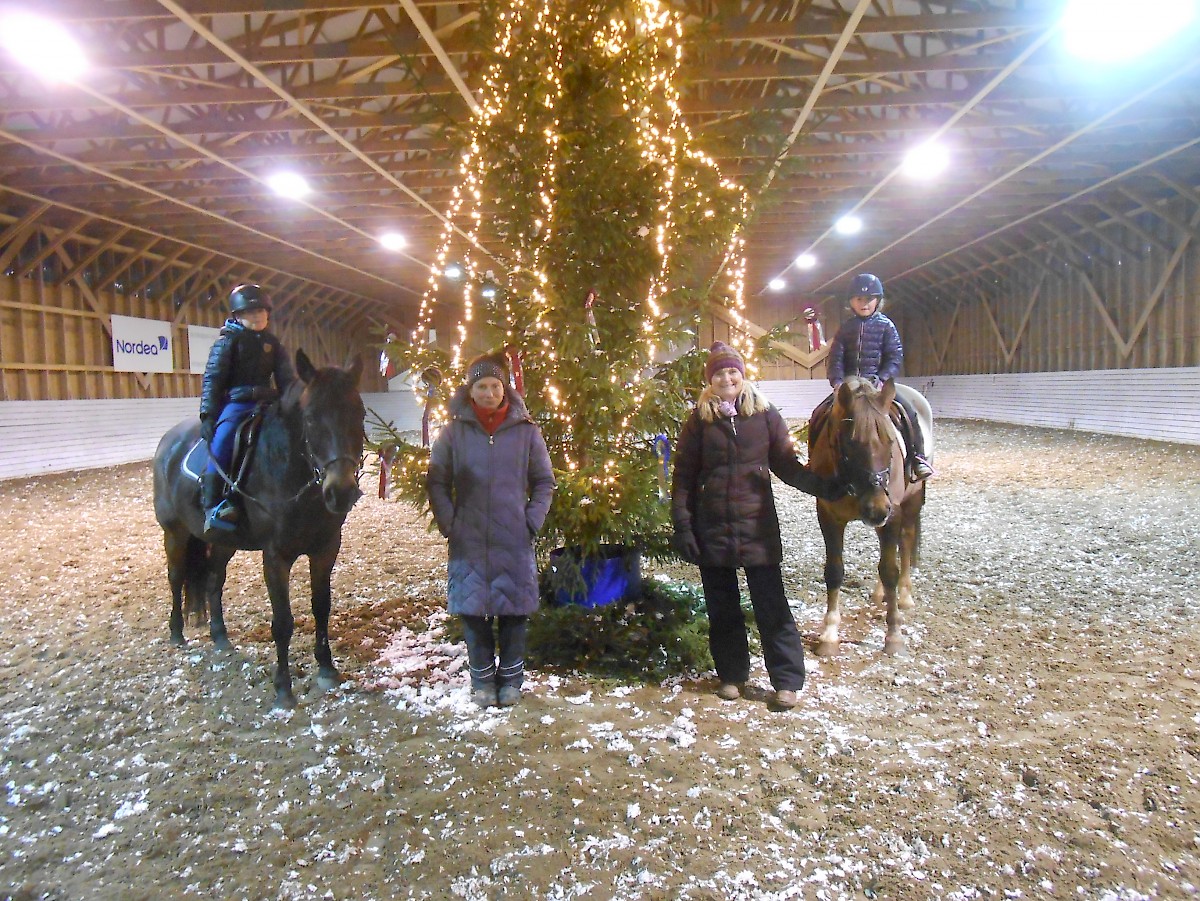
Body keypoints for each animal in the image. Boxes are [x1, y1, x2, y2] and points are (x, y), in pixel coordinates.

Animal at [152, 347, 362, 710]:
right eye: (310, 419)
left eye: (360, 414)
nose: (342, 492)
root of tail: (168, 441)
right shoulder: (276, 556)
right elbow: (283, 622)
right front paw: (283, 689)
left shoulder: (325, 548)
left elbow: (321, 607)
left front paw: (326, 669)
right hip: (175, 533)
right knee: (176, 578)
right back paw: (177, 633)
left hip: (223, 541)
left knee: (213, 580)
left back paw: (220, 636)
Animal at [811, 376, 931, 657]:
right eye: (849, 443)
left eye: (890, 442)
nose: (877, 508)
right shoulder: (828, 517)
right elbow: (834, 571)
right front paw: (829, 634)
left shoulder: (893, 513)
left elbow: (890, 571)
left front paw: (894, 636)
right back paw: (880, 594)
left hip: (909, 505)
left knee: (905, 543)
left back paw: (904, 596)